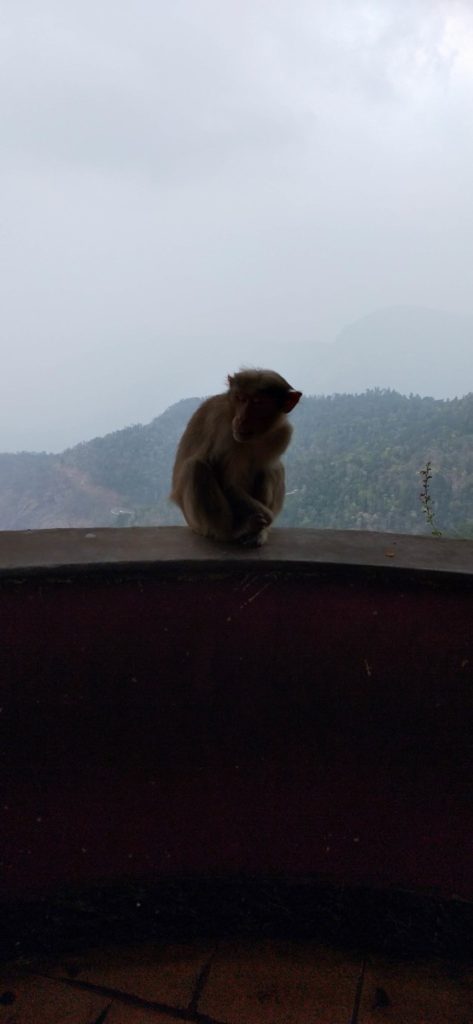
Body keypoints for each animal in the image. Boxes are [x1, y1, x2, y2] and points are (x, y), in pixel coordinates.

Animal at [172, 368, 301, 544]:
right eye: (241, 398)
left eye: (258, 402)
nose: (241, 419)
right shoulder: (224, 429)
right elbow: (228, 483)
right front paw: (268, 517)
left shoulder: (283, 433)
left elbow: (264, 468)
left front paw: (265, 525)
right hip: (196, 524)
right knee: (196, 468)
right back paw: (234, 531)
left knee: (274, 468)